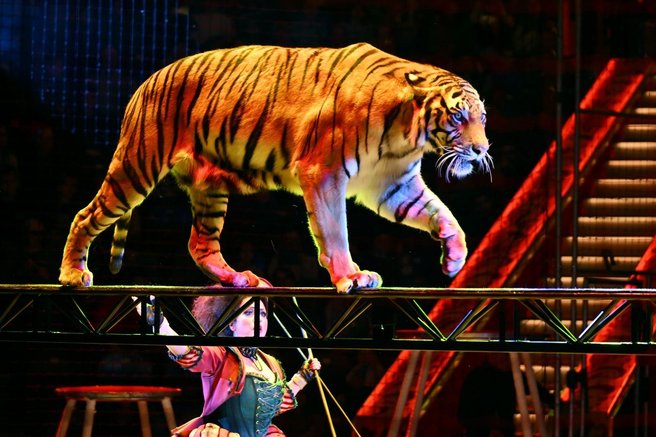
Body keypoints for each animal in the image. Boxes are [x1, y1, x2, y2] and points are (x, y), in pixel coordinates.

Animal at [58, 43, 491, 294]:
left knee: (200, 244)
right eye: (457, 117)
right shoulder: (324, 171)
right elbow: (334, 230)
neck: (408, 132)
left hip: (209, 188)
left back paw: (238, 278)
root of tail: (144, 82)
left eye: (482, 117)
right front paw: (349, 276)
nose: (481, 149)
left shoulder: (391, 183)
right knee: (85, 216)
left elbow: (440, 212)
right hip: (136, 167)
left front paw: (454, 255)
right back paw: (72, 274)